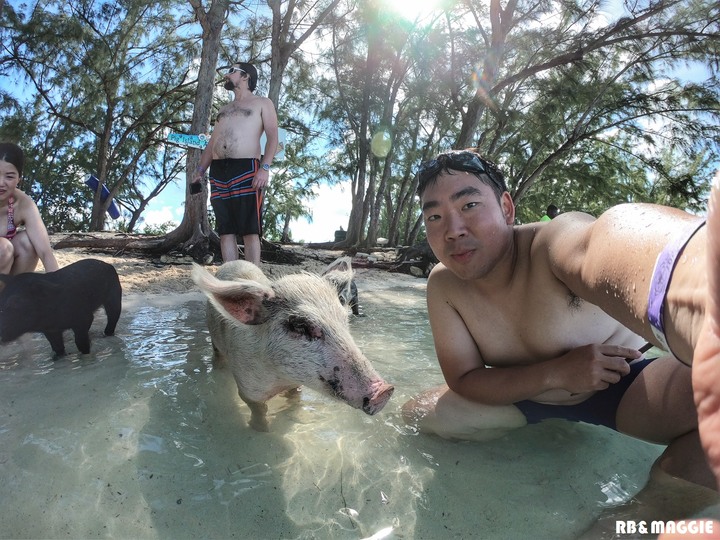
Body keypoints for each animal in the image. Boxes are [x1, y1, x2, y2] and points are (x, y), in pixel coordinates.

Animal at [191, 260, 394, 432]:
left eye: (345, 320)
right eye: (300, 325)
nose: (385, 390)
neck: (280, 379)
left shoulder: (295, 385)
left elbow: (294, 401)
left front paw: (296, 418)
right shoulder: (248, 388)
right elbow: (258, 409)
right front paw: (261, 431)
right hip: (214, 340)